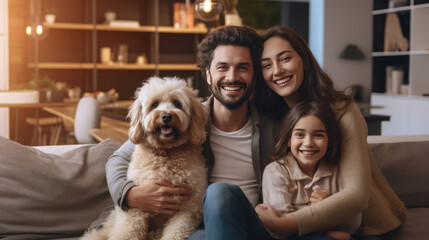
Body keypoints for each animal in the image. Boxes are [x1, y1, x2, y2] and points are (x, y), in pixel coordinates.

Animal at [82, 77, 209, 240]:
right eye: (155, 104)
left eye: (176, 103)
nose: (166, 116)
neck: (165, 153)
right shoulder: (137, 201)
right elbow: (129, 231)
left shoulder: (188, 207)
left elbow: (176, 230)